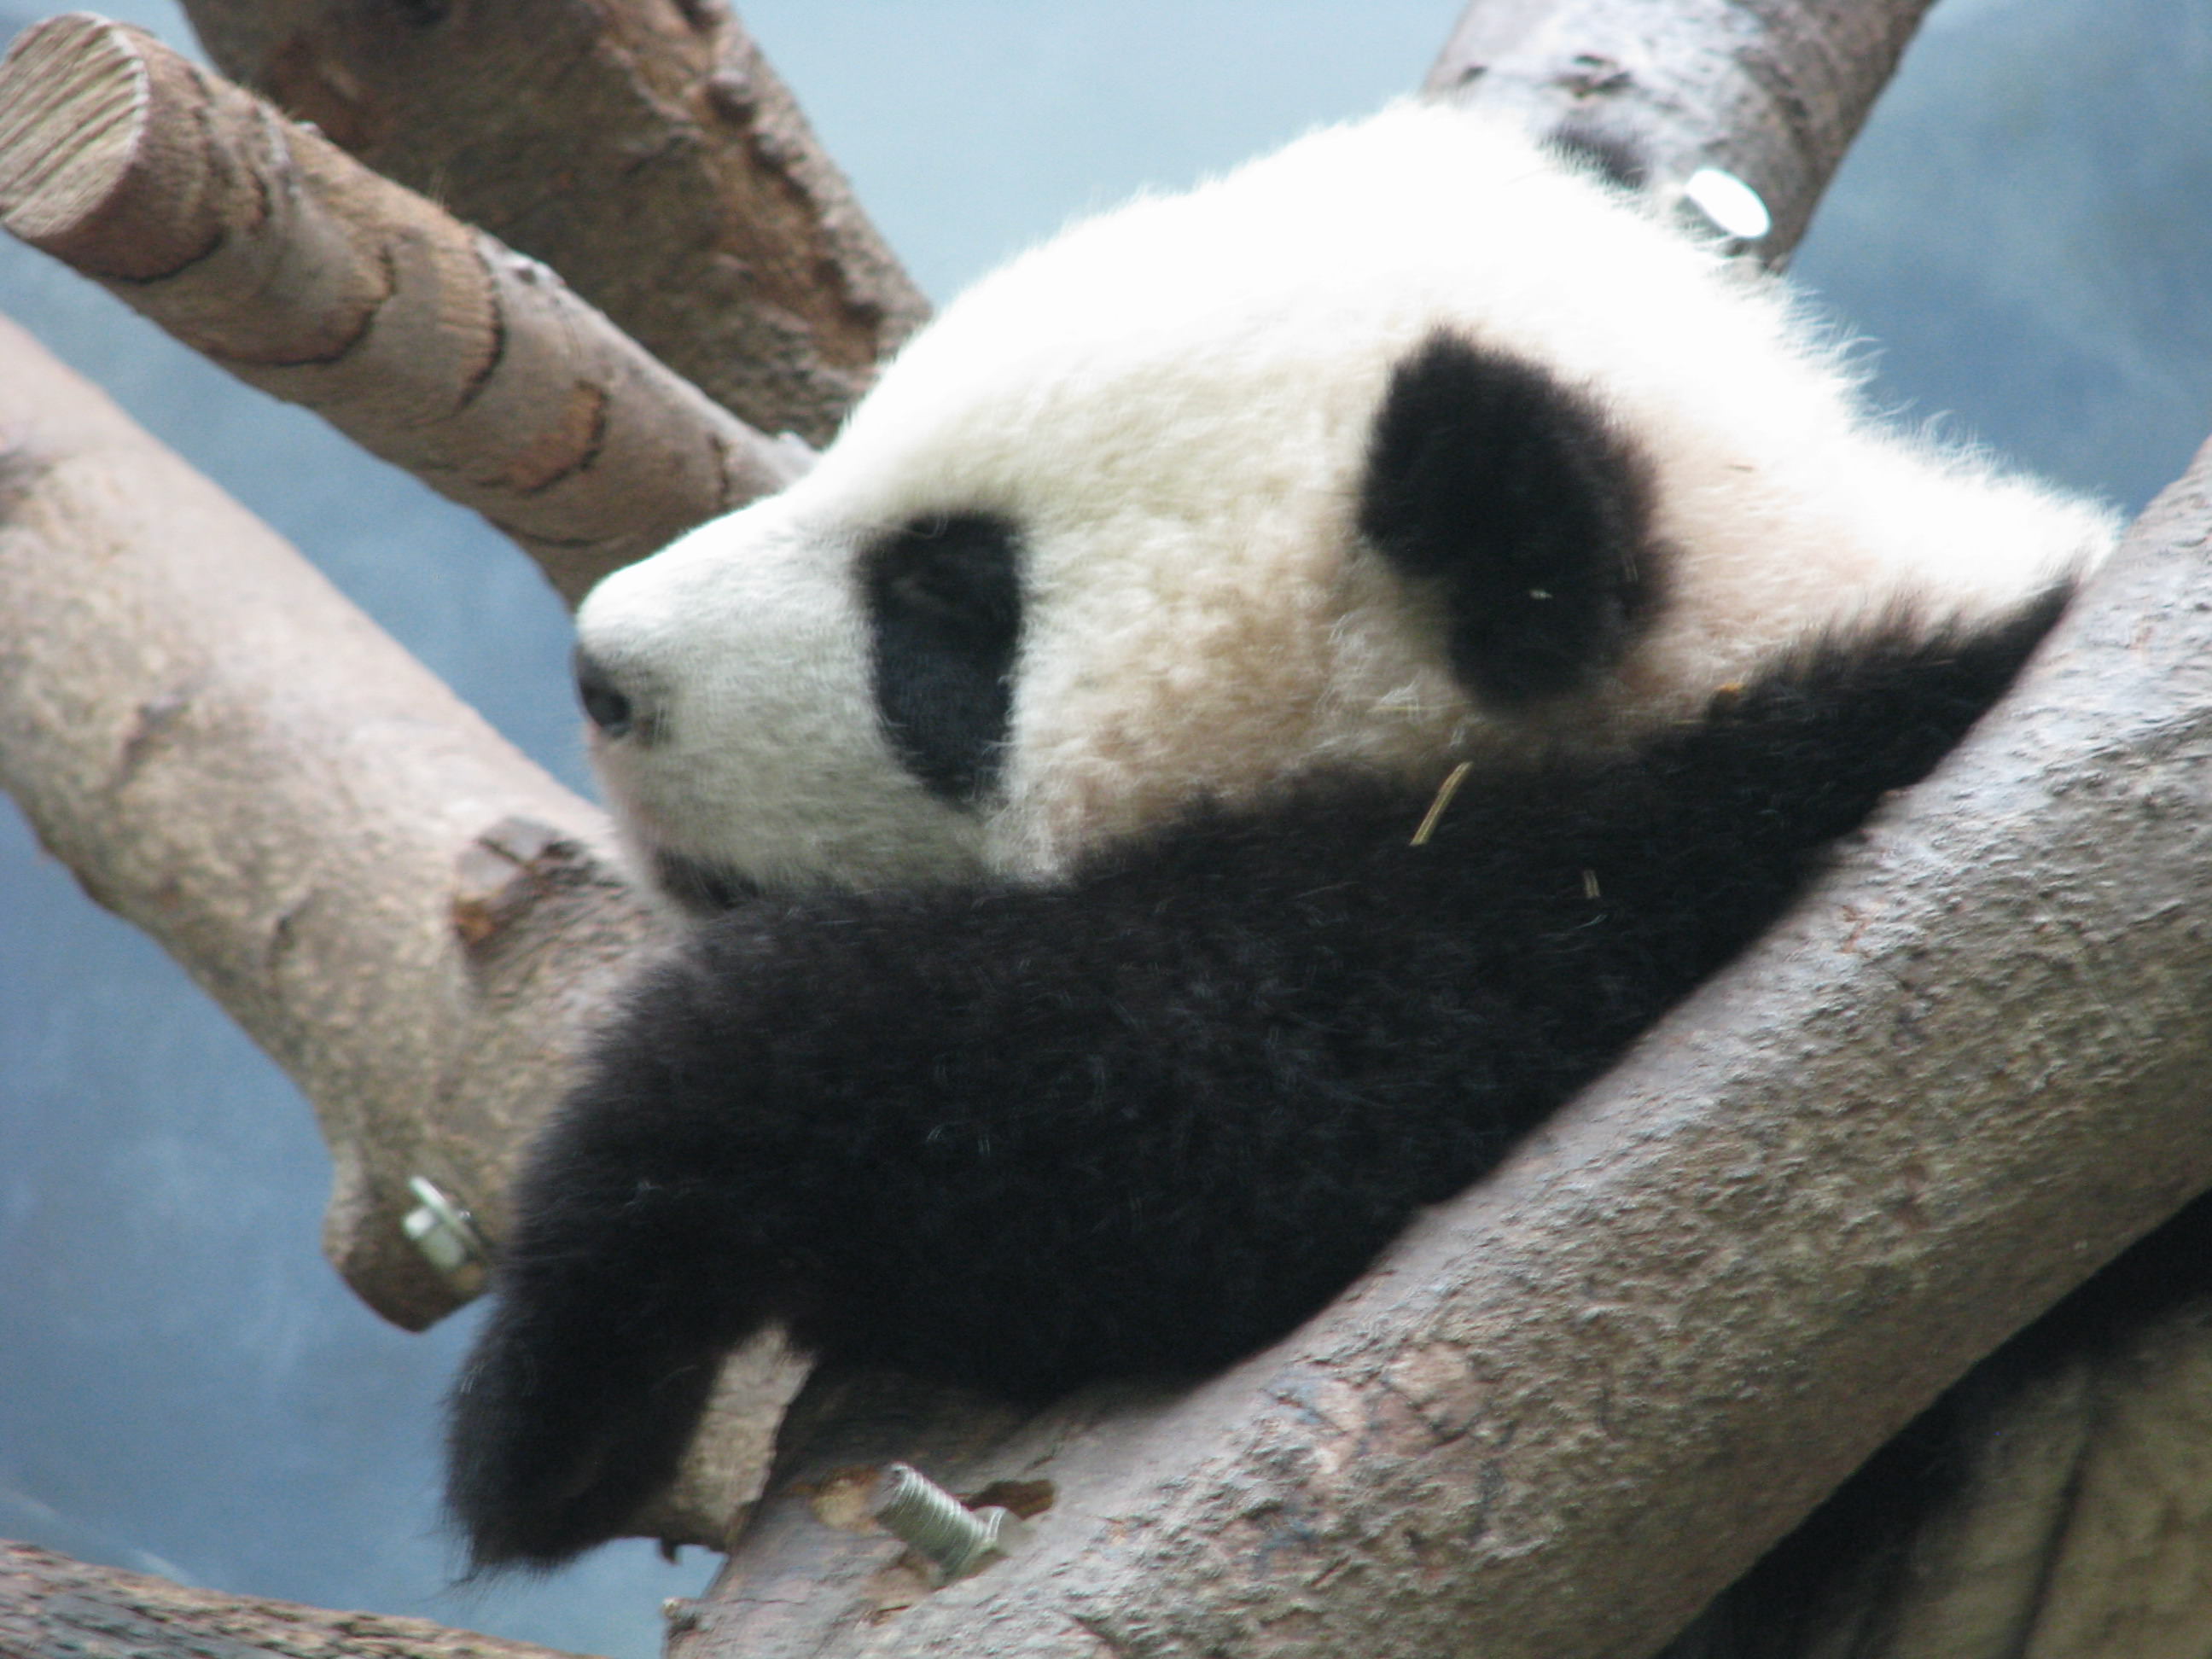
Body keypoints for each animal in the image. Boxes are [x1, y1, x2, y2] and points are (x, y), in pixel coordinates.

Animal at [444, 99, 2147, 1614]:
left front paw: (575, 1366)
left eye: (952, 608)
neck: (1771, 600)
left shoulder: (1699, 902)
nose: (602, 667)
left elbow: (1180, 1115)